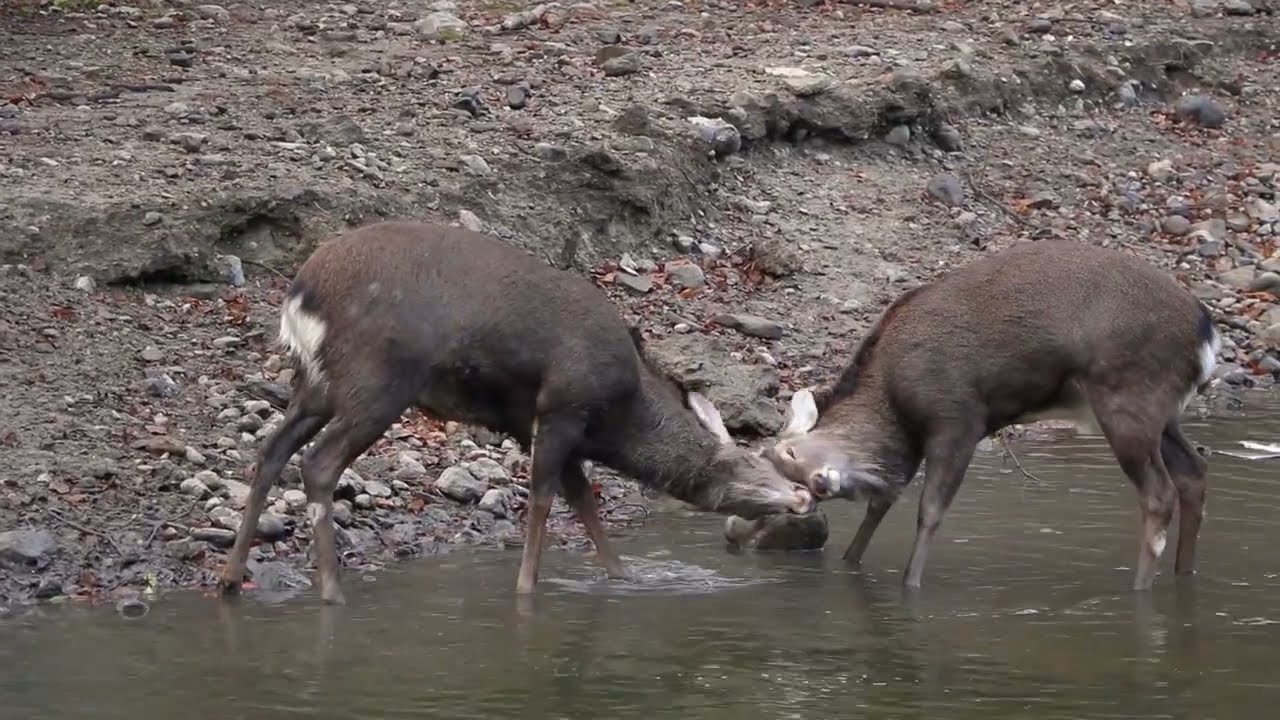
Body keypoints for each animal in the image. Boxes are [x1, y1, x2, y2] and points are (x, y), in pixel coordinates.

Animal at [217, 220, 816, 605]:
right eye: (751, 464)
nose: (805, 496)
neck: (619, 415)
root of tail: (300, 295)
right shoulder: (562, 407)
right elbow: (546, 502)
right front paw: (527, 592)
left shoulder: (542, 427)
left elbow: (584, 504)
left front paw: (623, 578)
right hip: (379, 377)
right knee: (319, 463)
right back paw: (332, 592)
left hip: (317, 385)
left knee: (270, 450)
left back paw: (229, 578)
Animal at [728, 239, 1221, 591]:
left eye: (791, 452)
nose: (817, 486)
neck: (894, 400)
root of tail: (1207, 333)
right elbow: (880, 507)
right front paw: (852, 565)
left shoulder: (958, 416)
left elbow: (929, 510)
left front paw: (910, 585)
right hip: (1160, 411)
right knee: (1193, 471)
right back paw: (1184, 577)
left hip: (1127, 396)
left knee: (1159, 494)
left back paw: (1141, 590)